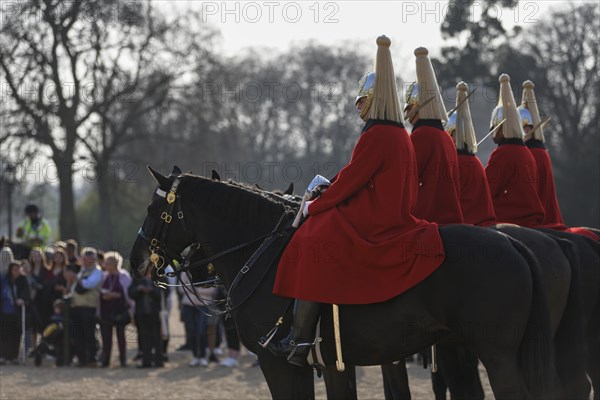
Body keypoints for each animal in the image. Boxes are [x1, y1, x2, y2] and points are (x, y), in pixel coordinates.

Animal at [131, 167, 556, 398]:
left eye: (154, 208)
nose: (136, 261)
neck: (260, 250)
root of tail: (513, 243)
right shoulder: (328, 364)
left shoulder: (278, 362)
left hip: (495, 353)